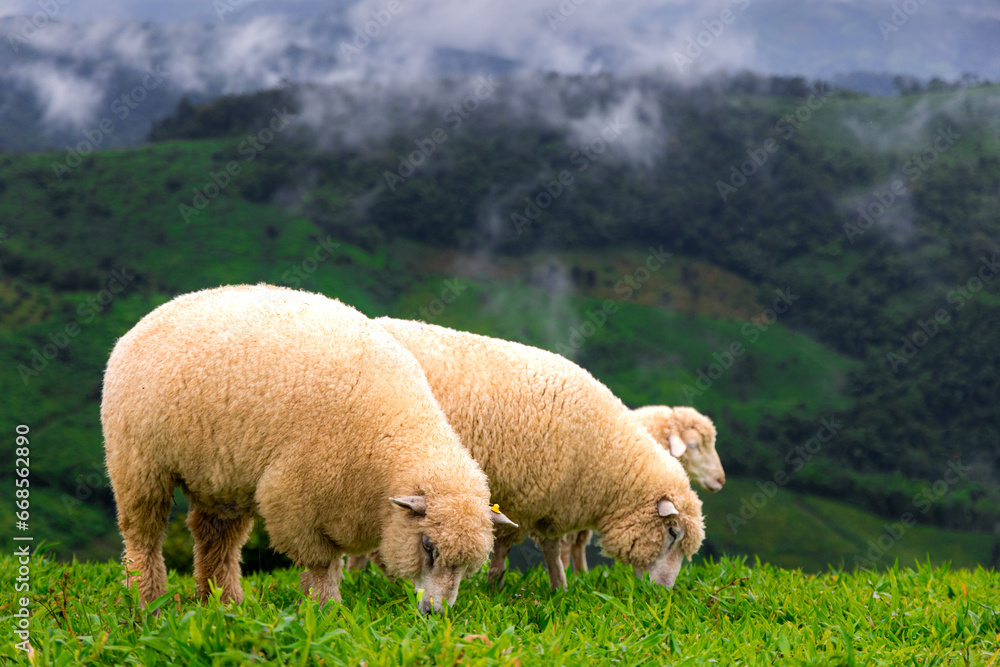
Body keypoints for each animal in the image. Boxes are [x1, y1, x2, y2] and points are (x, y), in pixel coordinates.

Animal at [101, 284, 514, 614]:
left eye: (469, 566)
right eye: (428, 546)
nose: (435, 613)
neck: (391, 437)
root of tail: (154, 315)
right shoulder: (294, 498)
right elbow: (321, 565)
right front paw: (327, 610)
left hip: (221, 476)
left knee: (215, 538)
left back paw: (223, 603)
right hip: (138, 461)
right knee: (142, 535)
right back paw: (147, 601)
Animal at [375, 317, 705, 592]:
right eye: (673, 533)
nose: (664, 591)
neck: (603, 452)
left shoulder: (551, 504)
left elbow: (551, 548)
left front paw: (560, 589)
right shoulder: (520, 499)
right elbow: (505, 547)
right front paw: (495, 587)